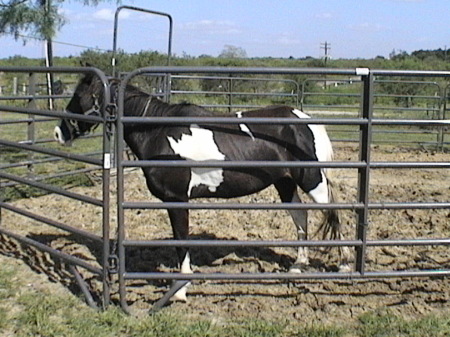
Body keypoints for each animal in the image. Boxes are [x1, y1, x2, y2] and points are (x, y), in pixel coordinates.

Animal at [54, 71, 350, 302]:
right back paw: (299, 264)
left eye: (80, 95)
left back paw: (345, 265)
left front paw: (181, 291)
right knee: (300, 215)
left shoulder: (176, 199)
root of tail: (304, 120)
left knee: (333, 212)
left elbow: (181, 242)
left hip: (312, 179)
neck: (158, 131)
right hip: (285, 182)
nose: (59, 132)